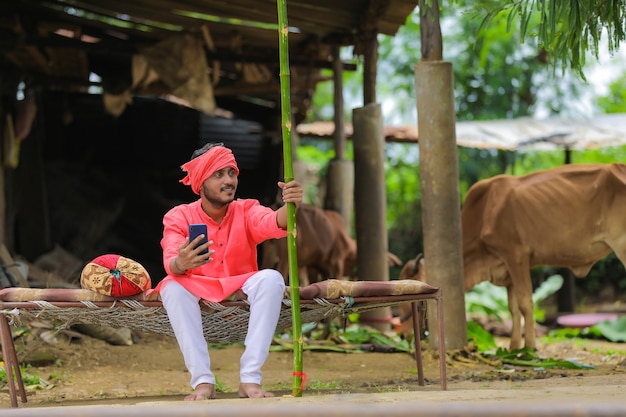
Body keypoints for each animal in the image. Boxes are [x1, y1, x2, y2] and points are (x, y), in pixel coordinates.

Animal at [460, 162, 620, 348]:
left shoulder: (516, 255)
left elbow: (525, 303)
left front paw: (529, 347)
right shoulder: (507, 269)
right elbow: (513, 308)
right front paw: (513, 347)